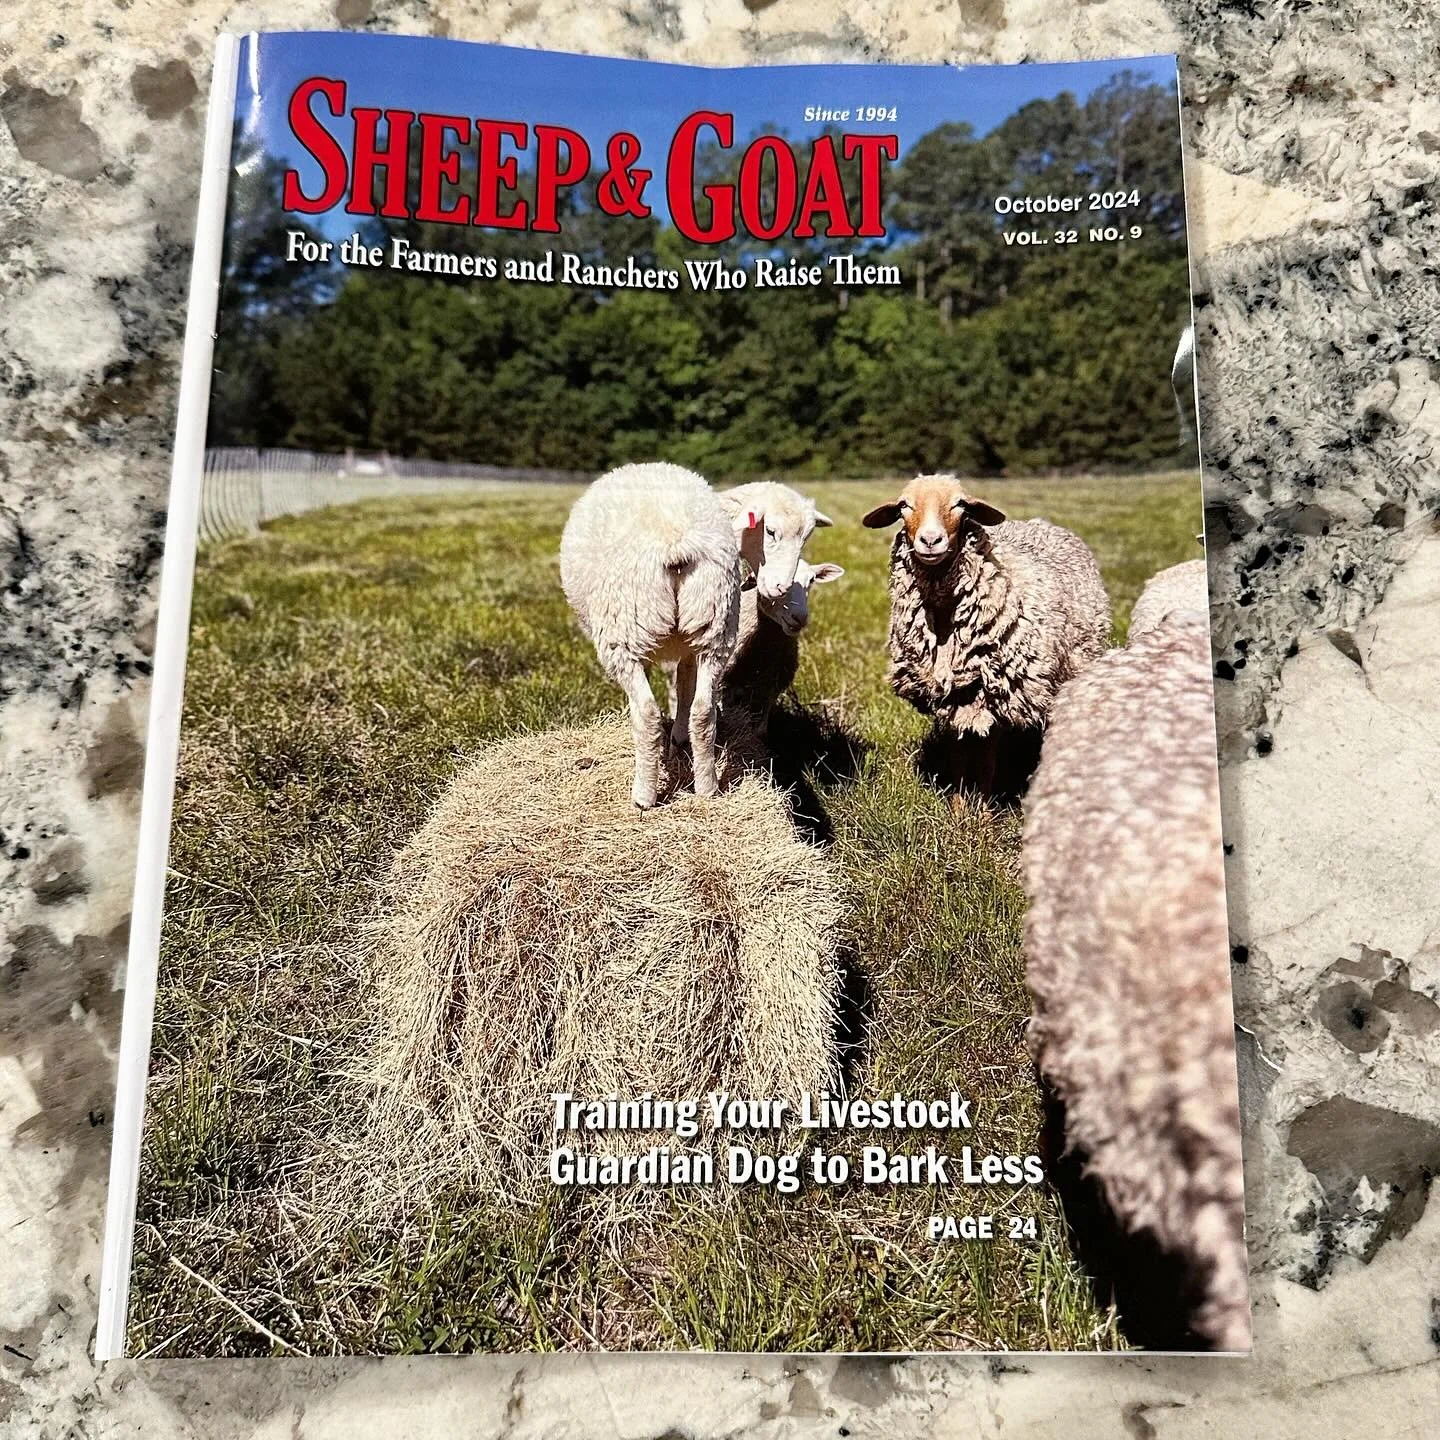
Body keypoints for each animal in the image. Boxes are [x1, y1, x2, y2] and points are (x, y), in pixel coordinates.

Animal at [559, 463, 829, 807]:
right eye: (770, 531)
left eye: (806, 538)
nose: (780, 587)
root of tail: (677, 544)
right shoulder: (688, 644)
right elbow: (684, 687)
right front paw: (679, 739)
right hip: (714, 622)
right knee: (704, 711)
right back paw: (707, 787)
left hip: (624, 629)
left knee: (647, 713)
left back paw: (644, 795)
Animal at [862, 474, 1110, 800]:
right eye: (904, 505)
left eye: (961, 505)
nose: (930, 540)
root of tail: (1044, 523)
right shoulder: (952, 697)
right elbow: (957, 760)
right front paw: (958, 807)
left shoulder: (998, 694)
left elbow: (986, 763)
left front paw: (981, 808)